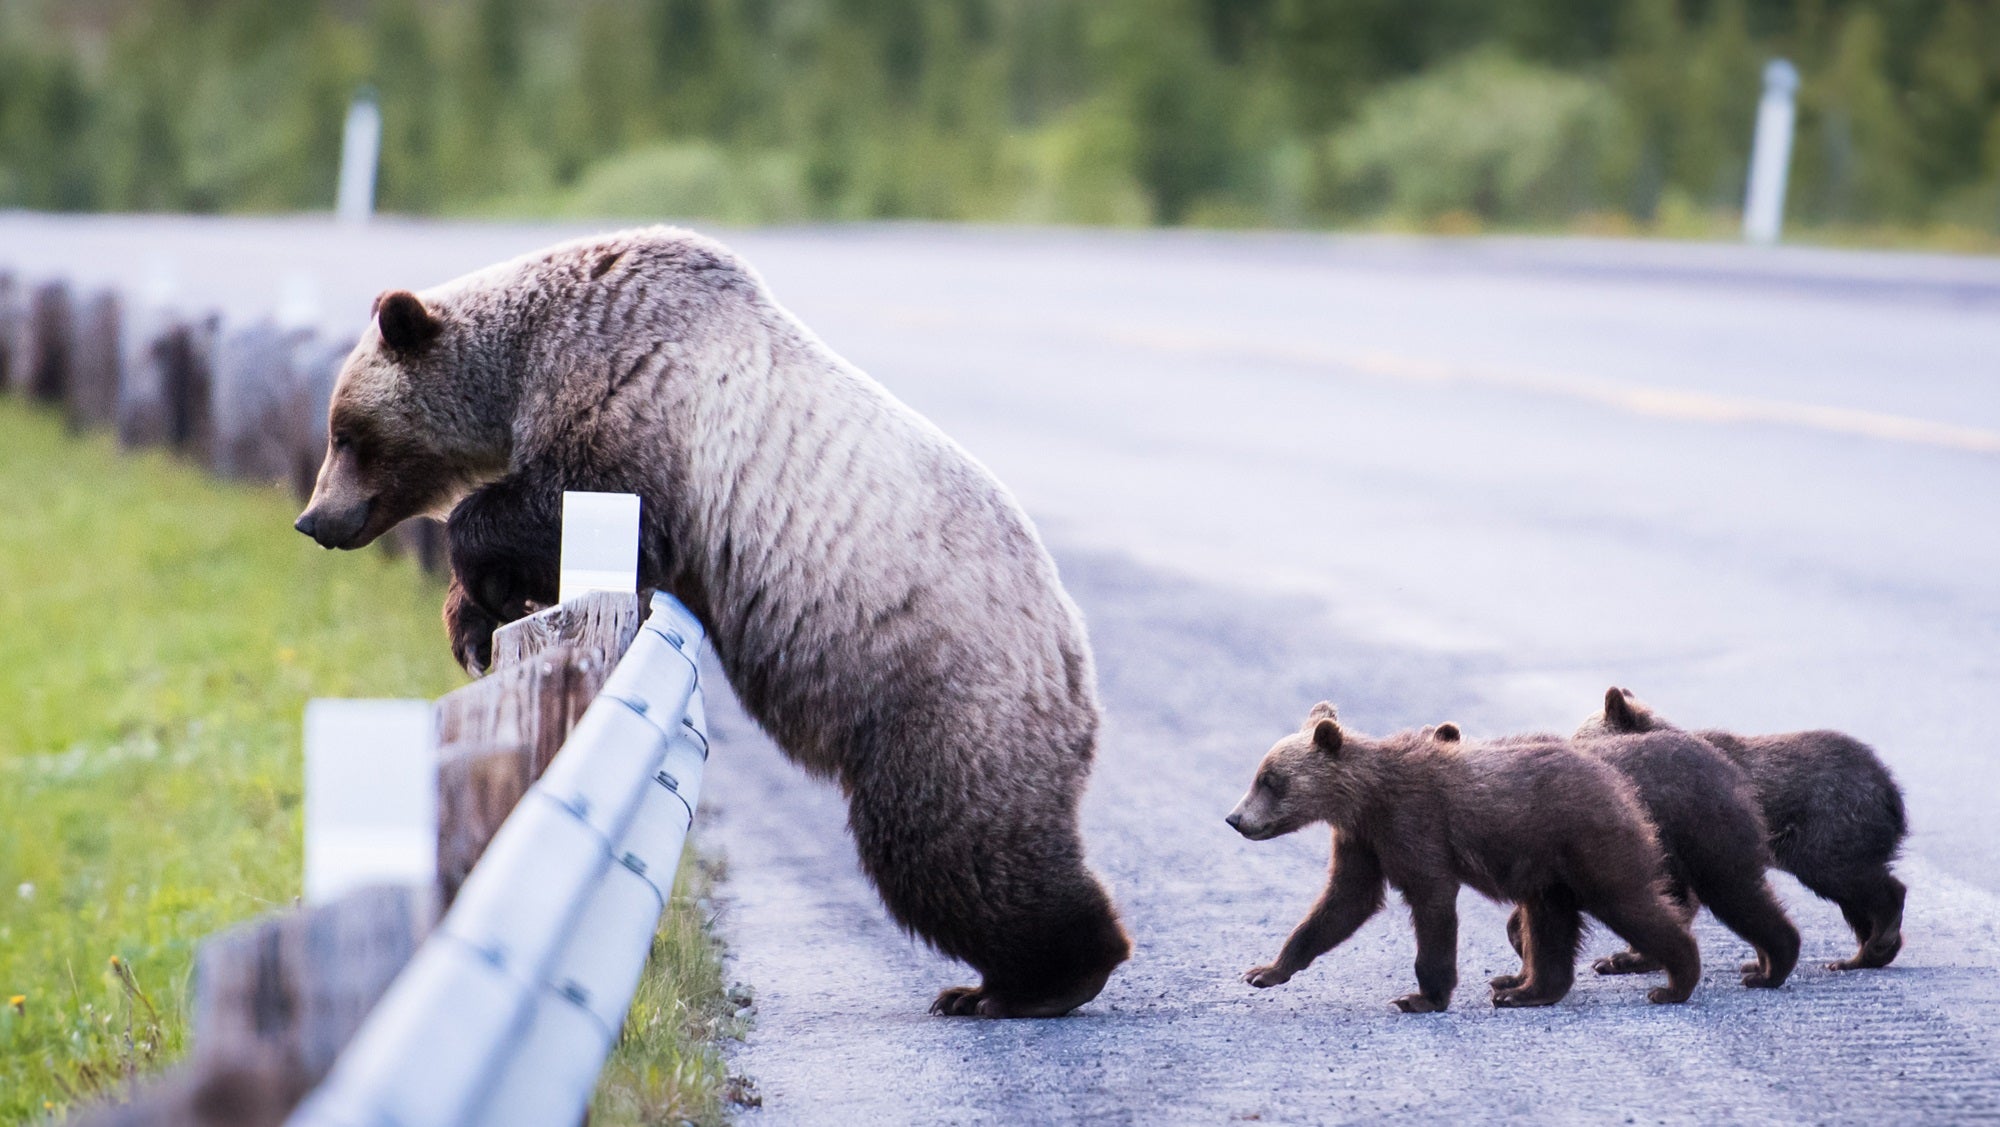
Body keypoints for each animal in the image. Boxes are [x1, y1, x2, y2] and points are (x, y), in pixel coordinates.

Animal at [300, 224, 1144, 1015]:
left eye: (347, 432)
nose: (315, 519)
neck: (525, 362)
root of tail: (1074, 654)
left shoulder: (637, 413)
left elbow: (566, 508)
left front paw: (483, 577)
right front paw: (474, 625)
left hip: (942, 692)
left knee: (949, 841)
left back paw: (1033, 977)